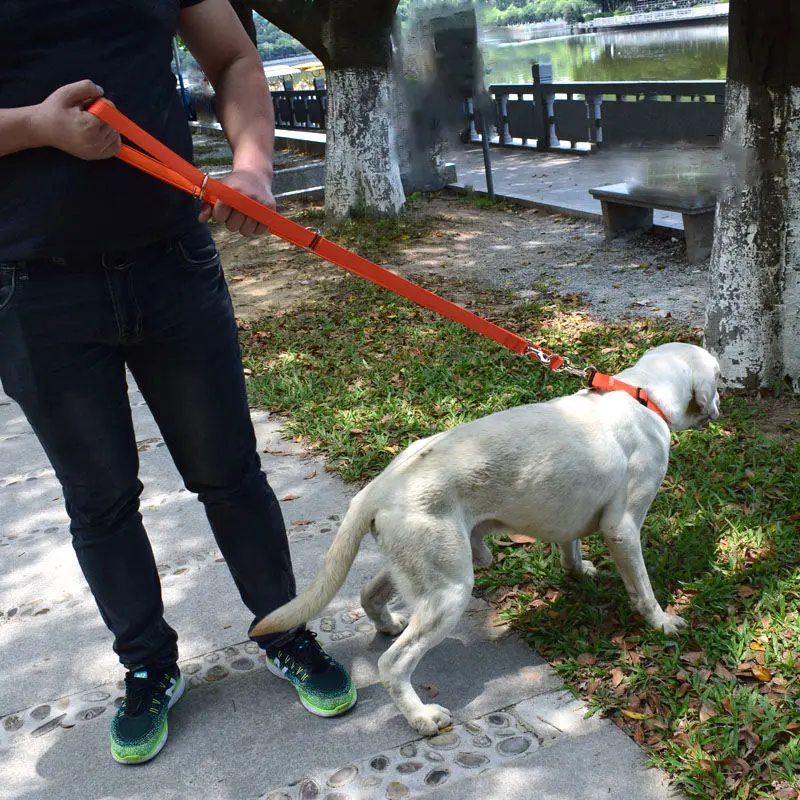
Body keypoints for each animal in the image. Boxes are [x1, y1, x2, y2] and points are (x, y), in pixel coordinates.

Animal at [255, 340, 720, 736]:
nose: (722, 405)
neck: (642, 393)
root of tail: (380, 486)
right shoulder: (622, 528)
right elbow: (642, 589)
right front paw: (662, 622)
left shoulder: (571, 518)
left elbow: (570, 548)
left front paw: (579, 571)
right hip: (451, 589)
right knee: (392, 664)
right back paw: (421, 717)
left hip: (432, 567)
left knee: (370, 594)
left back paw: (387, 624)